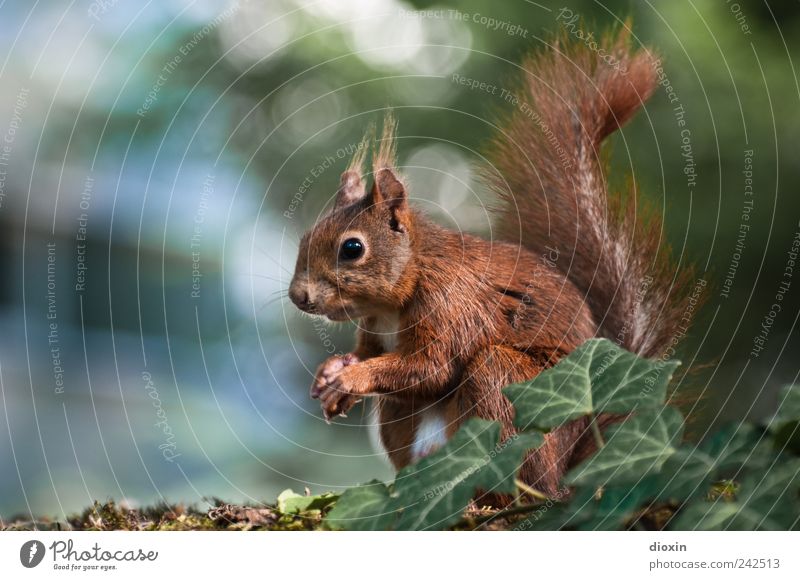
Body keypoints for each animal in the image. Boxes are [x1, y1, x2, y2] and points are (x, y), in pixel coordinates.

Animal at [286, 27, 692, 496]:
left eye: (352, 249)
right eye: (304, 239)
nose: (298, 297)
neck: (400, 291)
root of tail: (566, 474)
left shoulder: (452, 305)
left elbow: (432, 367)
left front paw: (351, 378)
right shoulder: (374, 330)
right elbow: (371, 355)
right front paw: (333, 371)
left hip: (510, 383)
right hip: (403, 420)